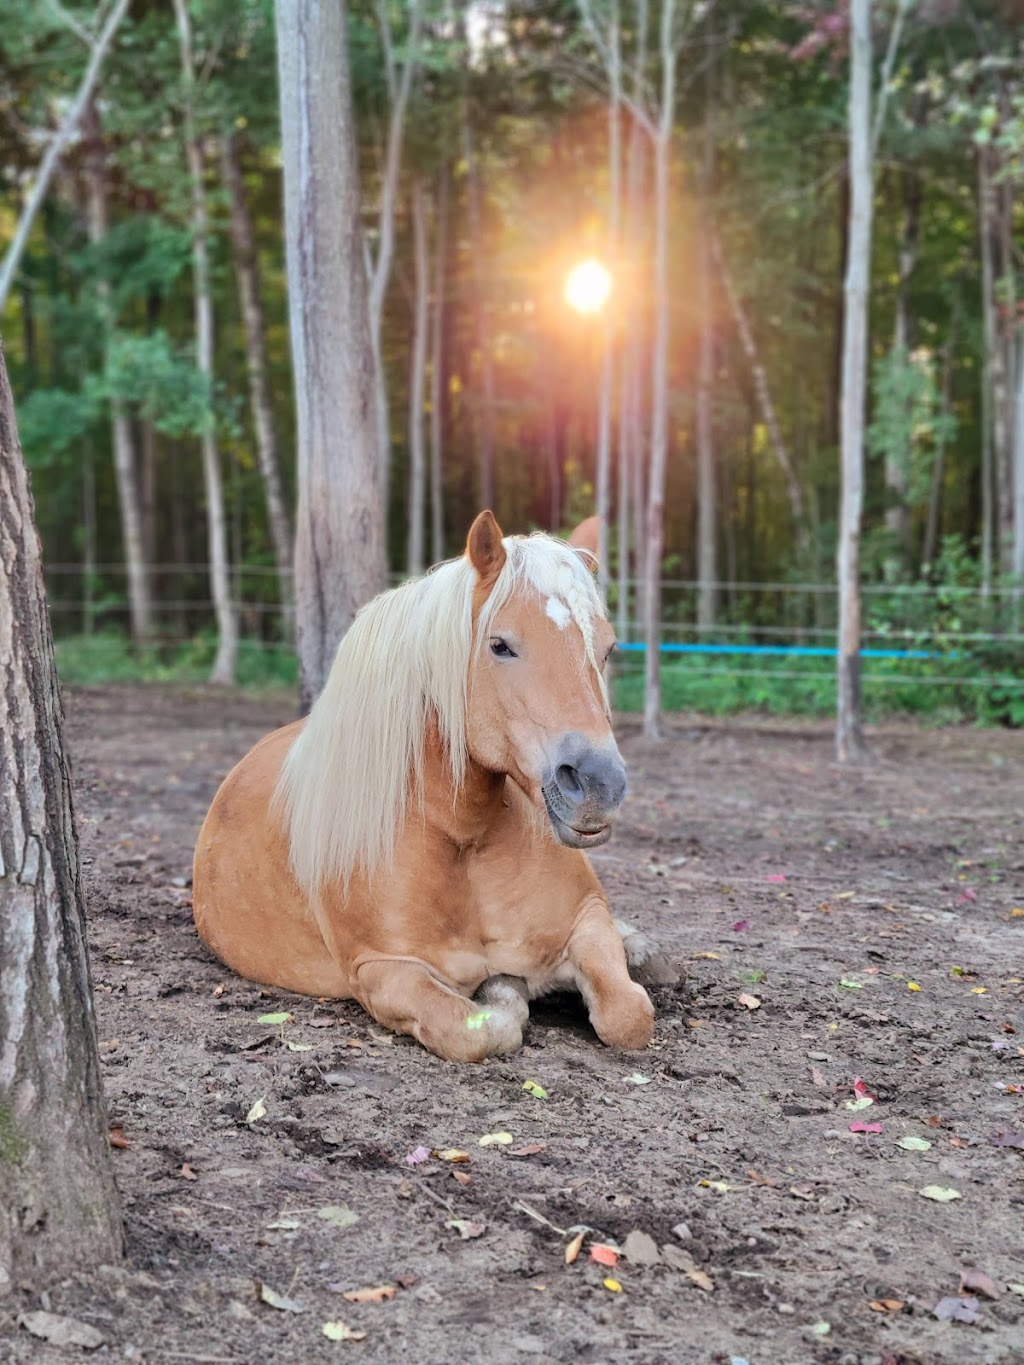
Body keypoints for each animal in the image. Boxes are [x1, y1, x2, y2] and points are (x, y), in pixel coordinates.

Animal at [192, 513, 674, 1064]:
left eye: (608, 648)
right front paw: (505, 990)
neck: (463, 838)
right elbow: (478, 1029)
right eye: (500, 644)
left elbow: (627, 1015)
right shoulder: (383, 970)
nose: (598, 783)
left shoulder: (586, 918)